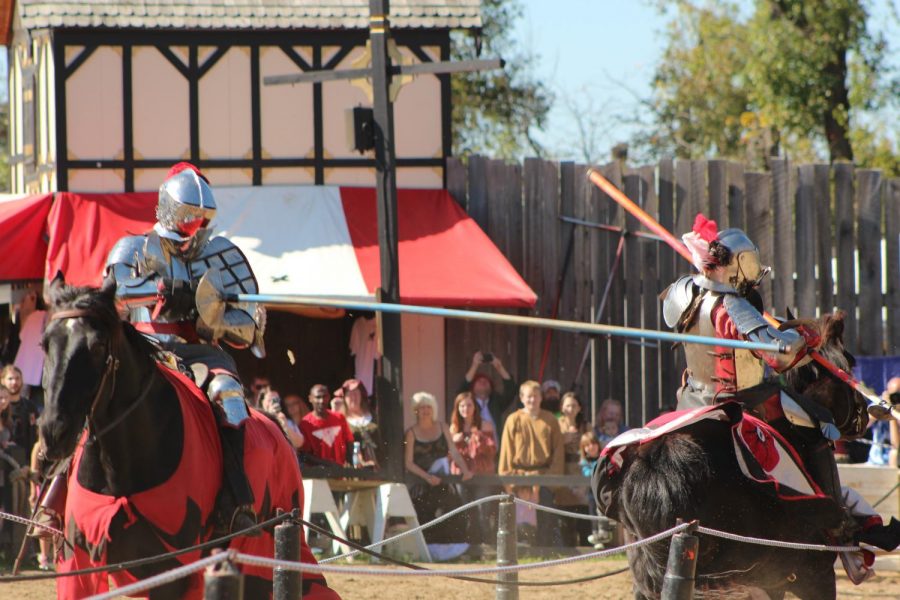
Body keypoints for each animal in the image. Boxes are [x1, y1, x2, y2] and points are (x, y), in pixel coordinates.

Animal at [37, 278, 334, 600]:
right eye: (44, 344)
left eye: (97, 345)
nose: (54, 431)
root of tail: (278, 428)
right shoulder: (78, 561)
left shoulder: (172, 569)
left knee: (224, 388)